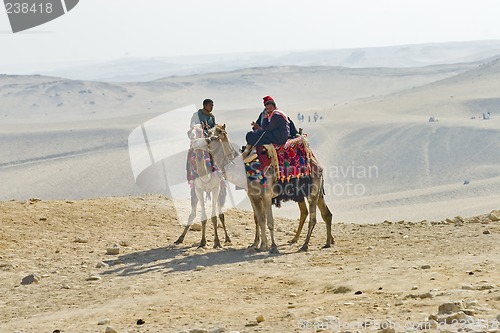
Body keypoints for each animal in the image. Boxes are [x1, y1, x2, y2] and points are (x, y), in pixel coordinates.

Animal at [205, 124, 334, 252]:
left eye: (220, 131)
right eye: (208, 132)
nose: (209, 139)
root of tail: (317, 163)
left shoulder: (266, 195)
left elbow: (269, 221)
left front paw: (272, 246)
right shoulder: (252, 195)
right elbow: (258, 219)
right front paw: (257, 244)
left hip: (312, 191)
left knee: (313, 217)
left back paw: (305, 245)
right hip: (313, 191)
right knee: (324, 213)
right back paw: (325, 242)